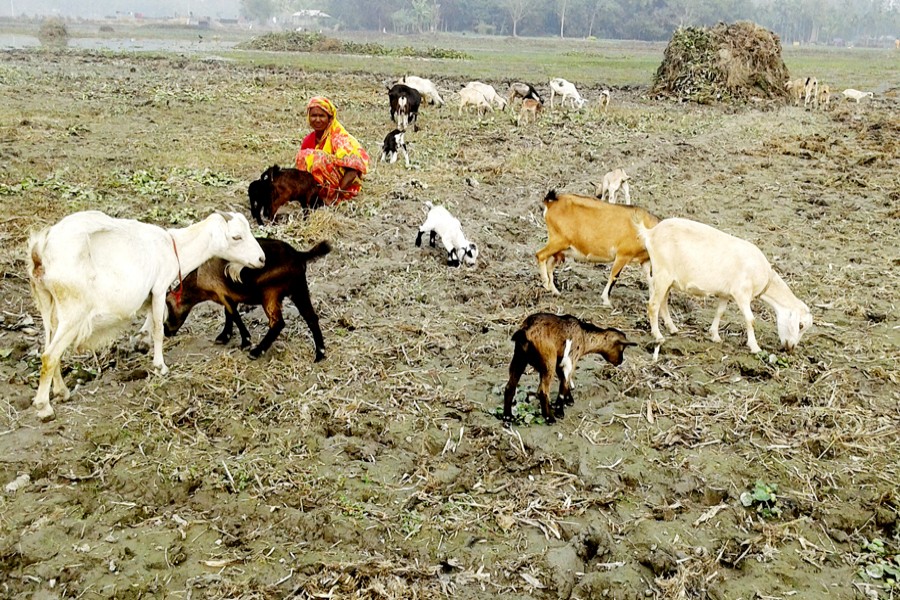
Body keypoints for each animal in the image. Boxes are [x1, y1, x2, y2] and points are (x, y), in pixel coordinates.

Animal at [28, 211, 266, 422]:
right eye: (236, 237)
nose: (261, 259)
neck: (173, 247)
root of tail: (41, 250)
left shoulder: (151, 294)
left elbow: (151, 321)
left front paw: (142, 342)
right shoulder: (160, 287)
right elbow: (159, 329)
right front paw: (160, 367)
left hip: (49, 307)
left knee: (51, 349)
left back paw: (62, 392)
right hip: (73, 311)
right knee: (49, 356)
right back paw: (44, 408)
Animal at [165, 238, 330, 360]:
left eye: (167, 307)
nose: (166, 331)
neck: (200, 275)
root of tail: (298, 255)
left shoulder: (223, 294)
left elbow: (234, 316)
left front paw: (246, 342)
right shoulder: (230, 296)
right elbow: (229, 314)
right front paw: (225, 336)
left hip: (270, 294)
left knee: (277, 323)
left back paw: (256, 352)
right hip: (298, 289)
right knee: (311, 317)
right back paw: (320, 354)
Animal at [502, 312, 636, 424]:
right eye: (622, 348)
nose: (620, 361)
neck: (583, 335)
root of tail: (526, 330)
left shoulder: (560, 362)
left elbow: (564, 381)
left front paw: (568, 400)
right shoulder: (570, 360)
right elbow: (564, 384)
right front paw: (560, 411)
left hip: (519, 358)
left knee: (510, 387)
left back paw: (508, 417)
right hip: (548, 362)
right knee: (543, 391)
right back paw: (550, 418)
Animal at [632, 216, 816, 354]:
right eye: (800, 325)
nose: (791, 347)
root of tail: (650, 233)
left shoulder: (725, 294)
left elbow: (720, 312)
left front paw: (715, 336)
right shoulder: (741, 293)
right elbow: (751, 319)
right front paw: (755, 347)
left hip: (668, 279)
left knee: (662, 302)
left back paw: (672, 328)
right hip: (662, 273)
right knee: (653, 305)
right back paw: (658, 336)